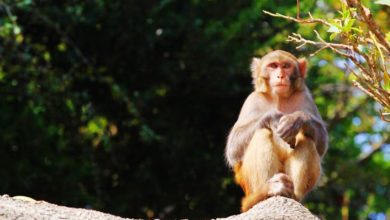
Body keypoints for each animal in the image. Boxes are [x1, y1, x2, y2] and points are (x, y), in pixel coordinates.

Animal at [225, 49, 330, 211]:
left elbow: (322, 144)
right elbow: (233, 150)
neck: (279, 98)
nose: (280, 75)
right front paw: (272, 117)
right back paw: (268, 191)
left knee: (306, 138)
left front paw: (297, 120)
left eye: (286, 66)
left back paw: (292, 195)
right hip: (245, 181)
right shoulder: (252, 99)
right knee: (262, 133)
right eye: (273, 66)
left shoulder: (305, 97)